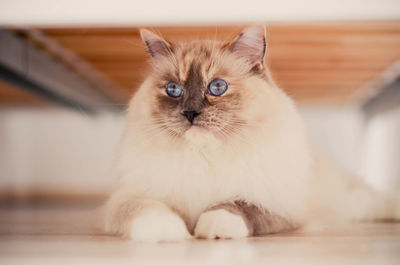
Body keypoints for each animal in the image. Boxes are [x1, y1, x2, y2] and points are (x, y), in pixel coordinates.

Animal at [104, 25, 400, 241]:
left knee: (370, 199)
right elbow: (148, 208)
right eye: (173, 89)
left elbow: (237, 205)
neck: (204, 157)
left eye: (218, 87)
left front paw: (213, 227)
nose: (190, 113)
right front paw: (168, 233)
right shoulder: (129, 199)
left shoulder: (279, 206)